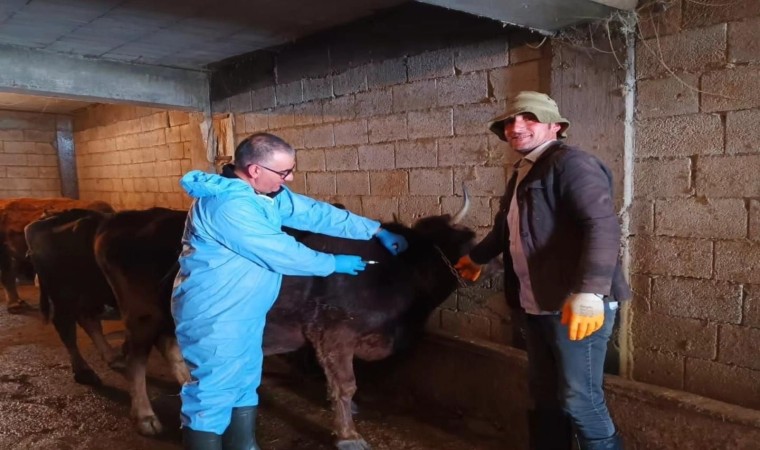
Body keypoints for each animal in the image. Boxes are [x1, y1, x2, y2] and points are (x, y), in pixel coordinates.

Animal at [24, 209, 124, 386]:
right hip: (64, 294)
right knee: (65, 326)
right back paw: (84, 372)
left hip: (87, 293)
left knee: (88, 319)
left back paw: (111, 356)